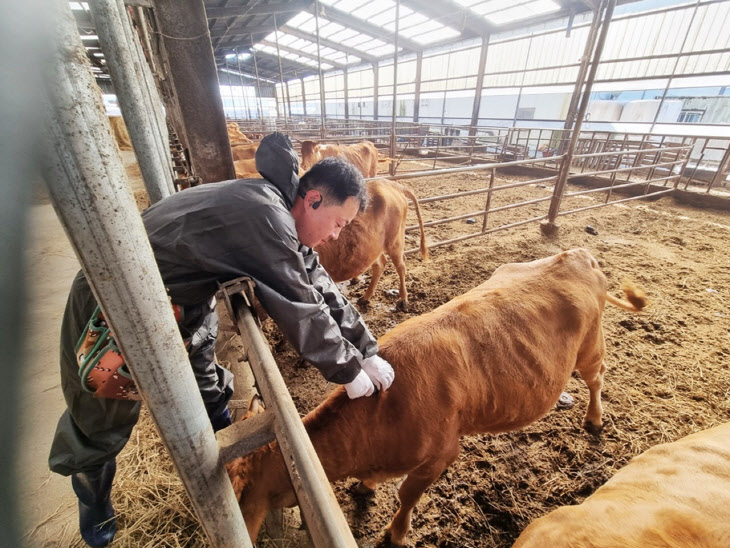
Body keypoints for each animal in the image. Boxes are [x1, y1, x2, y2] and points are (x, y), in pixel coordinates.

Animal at [226, 250, 644, 544]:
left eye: (240, 496)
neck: (381, 415)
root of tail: (575, 254)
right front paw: (366, 487)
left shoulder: (441, 454)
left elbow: (407, 495)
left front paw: (396, 533)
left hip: (590, 348)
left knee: (597, 379)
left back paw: (594, 419)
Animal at [314, 179, 426, 310]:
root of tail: (391, 184)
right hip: (372, 247)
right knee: (380, 264)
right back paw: (365, 297)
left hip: (395, 241)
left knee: (401, 265)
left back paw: (403, 300)